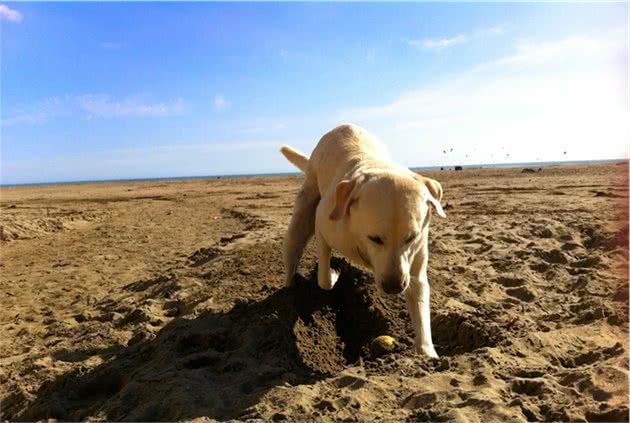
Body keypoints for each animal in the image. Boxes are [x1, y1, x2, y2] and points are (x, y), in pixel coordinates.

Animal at [282, 124, 444, 360]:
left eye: (410, 238)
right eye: (375, 238)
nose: (394, 287)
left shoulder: (415, 263)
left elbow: (420, 302)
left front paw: (428, 355)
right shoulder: (324, 225)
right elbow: (323, 278)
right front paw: (334, 273)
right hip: (302, 216)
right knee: (293, 254)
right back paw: (289, 297)